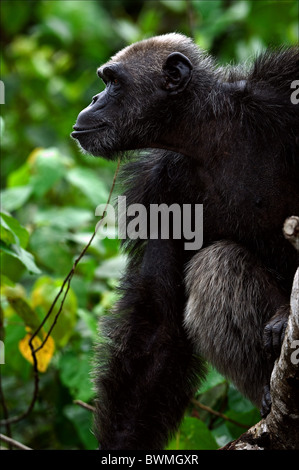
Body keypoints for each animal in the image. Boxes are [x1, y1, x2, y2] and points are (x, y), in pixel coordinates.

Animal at [72, 35, 299, 450]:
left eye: (112, 81)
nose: (94, 98)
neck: (210, 134)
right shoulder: (158, 192)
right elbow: (158, 325)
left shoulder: (285, 90)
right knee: (217, 264)